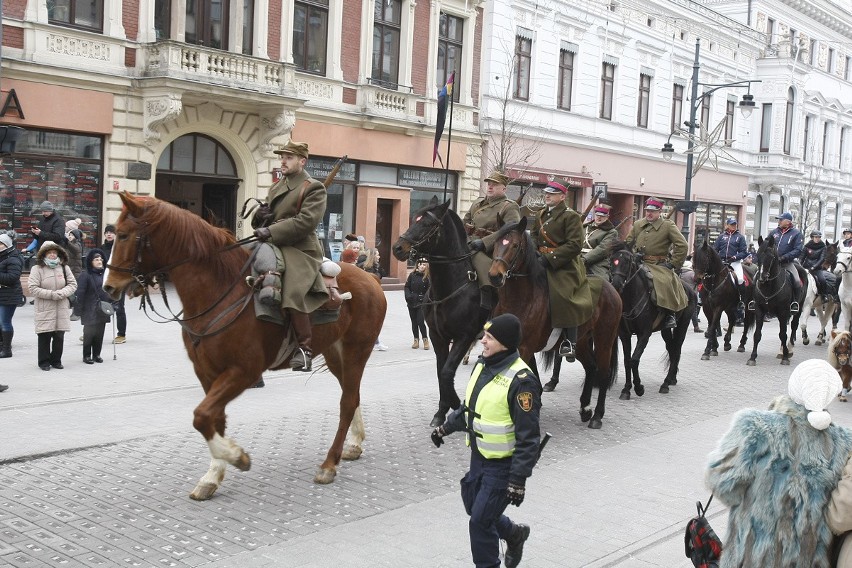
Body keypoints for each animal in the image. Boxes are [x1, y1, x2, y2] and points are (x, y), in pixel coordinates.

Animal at [100, 192, 390, 502]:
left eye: (124, 234)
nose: (109, 287)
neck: (219, 291)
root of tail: (371, 278)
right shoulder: (207, 373)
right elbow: (213, 419)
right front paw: (213, 475)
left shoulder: (244, 372)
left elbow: (201, 417)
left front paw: (237, 457)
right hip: (336, 354)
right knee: (353, 394)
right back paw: (354, 444)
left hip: (356, 351)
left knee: (347, 401)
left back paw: (329, 463)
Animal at [392, 200, 486, 426]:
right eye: (412, 219)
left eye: (427, 224)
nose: (398, 248)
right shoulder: (437, 336)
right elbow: (440, 371)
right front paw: (442, 411)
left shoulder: (464, 336)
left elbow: (446, 372)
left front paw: (458, 407)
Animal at [490, 220, 624, 428]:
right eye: (495, 243)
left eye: (515, 245)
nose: (495, 276)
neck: (521, 299)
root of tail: (611, 288)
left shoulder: (525, 347)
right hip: (582, 342)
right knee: (591, 367)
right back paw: (585, 408)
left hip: (605, 340)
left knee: (603, 373)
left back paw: (597, 416)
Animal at [608, 242, 696, 398]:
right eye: (612, 260)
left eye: (628, 261)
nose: (616, 284)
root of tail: (688, 288)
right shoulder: (624, 335)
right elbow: (627, 361)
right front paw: (626, 389)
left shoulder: (644, 334)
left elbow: (634, 359)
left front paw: (638, 388)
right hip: (665, 330)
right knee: (671, 349)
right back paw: (671, 379)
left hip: (683, 325)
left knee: (677, 350)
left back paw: (665, 383)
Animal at [752, 234, 804, 364]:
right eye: (758, 254)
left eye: (771, 256)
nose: (761, 277)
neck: (769, 286)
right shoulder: (759, 310)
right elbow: (757, 334)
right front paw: (752, 357)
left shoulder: (782, 312)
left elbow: (783, 335)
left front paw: (785, 357)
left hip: (799, 309)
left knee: (793, 326)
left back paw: (788, 350)